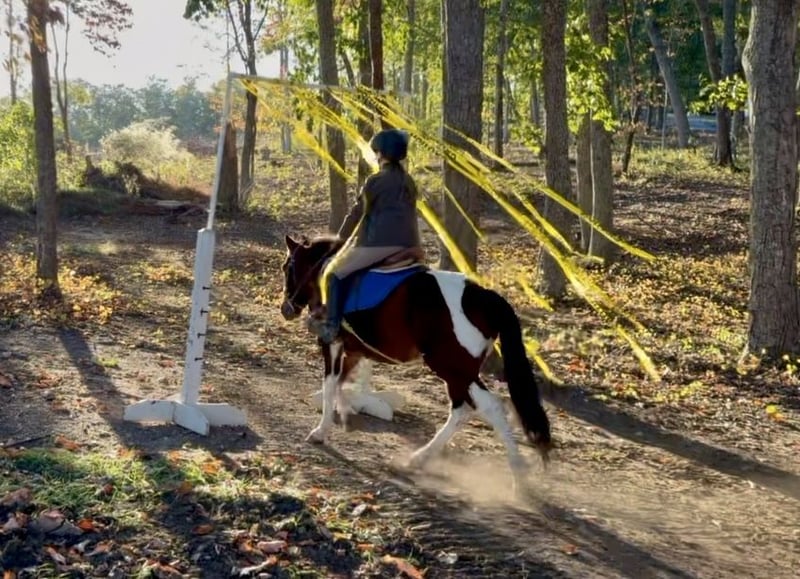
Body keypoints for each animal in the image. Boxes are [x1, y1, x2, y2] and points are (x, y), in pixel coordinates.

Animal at [279, 234, 552, 488]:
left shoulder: (332, 344)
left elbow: (330, 385)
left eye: (287, 267)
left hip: (453, 367)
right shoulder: (356, 350)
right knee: (463, 409)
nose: (286, 309)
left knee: (487, 407)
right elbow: (342, 383)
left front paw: (321, 430)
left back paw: (518, 474)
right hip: (458, 371)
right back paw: (419, 459)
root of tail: (483, 297)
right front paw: (348, 411)